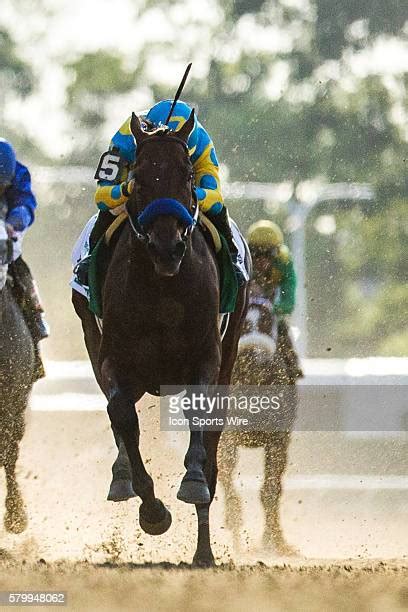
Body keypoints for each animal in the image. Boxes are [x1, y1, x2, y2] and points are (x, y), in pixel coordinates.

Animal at [72, 109, 250, 564]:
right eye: (137, 175)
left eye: (187, 174)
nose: (166, 247)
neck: (163, 288)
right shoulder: (113, 357)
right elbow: (121, 415)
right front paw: (151, 509)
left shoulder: (206, 356)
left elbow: (201, 421)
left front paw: (193, 482)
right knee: (117, 413)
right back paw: (121, 477)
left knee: (213, 437)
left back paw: (203, 551)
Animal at [218, 284, 298, 556]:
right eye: (241, 323)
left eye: (267, 319)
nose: (256, 356)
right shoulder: (227, 436)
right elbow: (226, 473)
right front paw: (235, 529)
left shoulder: (279, 438)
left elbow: (271, 490)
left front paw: (274, 542)